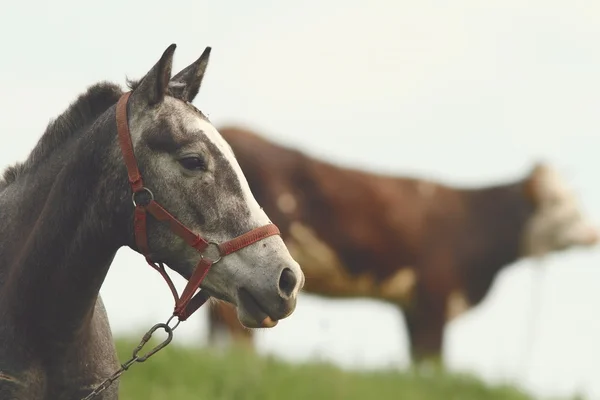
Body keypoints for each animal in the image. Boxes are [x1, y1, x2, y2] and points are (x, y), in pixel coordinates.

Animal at [205, 125, 596, 362]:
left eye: (575, 199)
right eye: (558, 203)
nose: (593, 233)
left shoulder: (414, 307)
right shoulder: (435, 298)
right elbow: (434, 362)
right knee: (232, 324)